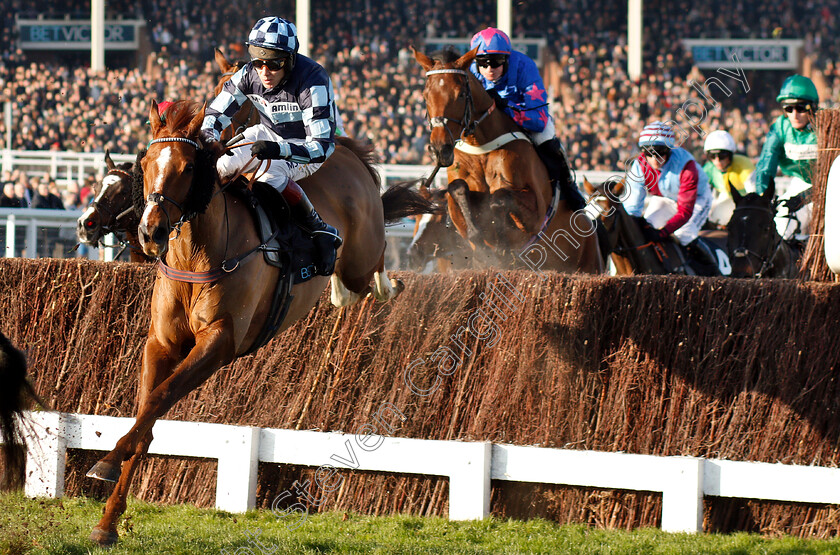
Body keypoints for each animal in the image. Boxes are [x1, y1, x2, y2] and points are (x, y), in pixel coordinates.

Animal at [85, 101, 434, 548]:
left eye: (187, 167)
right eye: (145, 165)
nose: (151, 232)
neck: (197, 255)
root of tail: (348, 152)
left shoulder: (220, 341)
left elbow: (162, 395)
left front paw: (106, 463)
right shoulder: (161, 343)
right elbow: (148, 410)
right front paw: (108, 520)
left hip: (360, 250)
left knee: (372, 273)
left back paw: (381, 278)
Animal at [416, 46, 604, 274]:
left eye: (460, 94)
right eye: (426, 95)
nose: (439, 149)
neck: (482, 146)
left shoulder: (536, 213)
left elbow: (500, 198)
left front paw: (502, 244)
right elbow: (458, 189)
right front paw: (481, 241)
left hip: (590, 264)